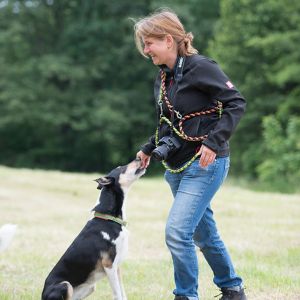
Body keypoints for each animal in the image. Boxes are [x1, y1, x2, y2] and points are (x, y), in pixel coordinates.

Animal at [42, 158, 145, 298]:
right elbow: (117, 294)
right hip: (66, 285)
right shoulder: (109, 265)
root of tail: (42, 294)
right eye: (122, 168)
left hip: (90, 287)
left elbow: (123, 294)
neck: (110, 219)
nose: (139, 158)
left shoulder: (117, 266)